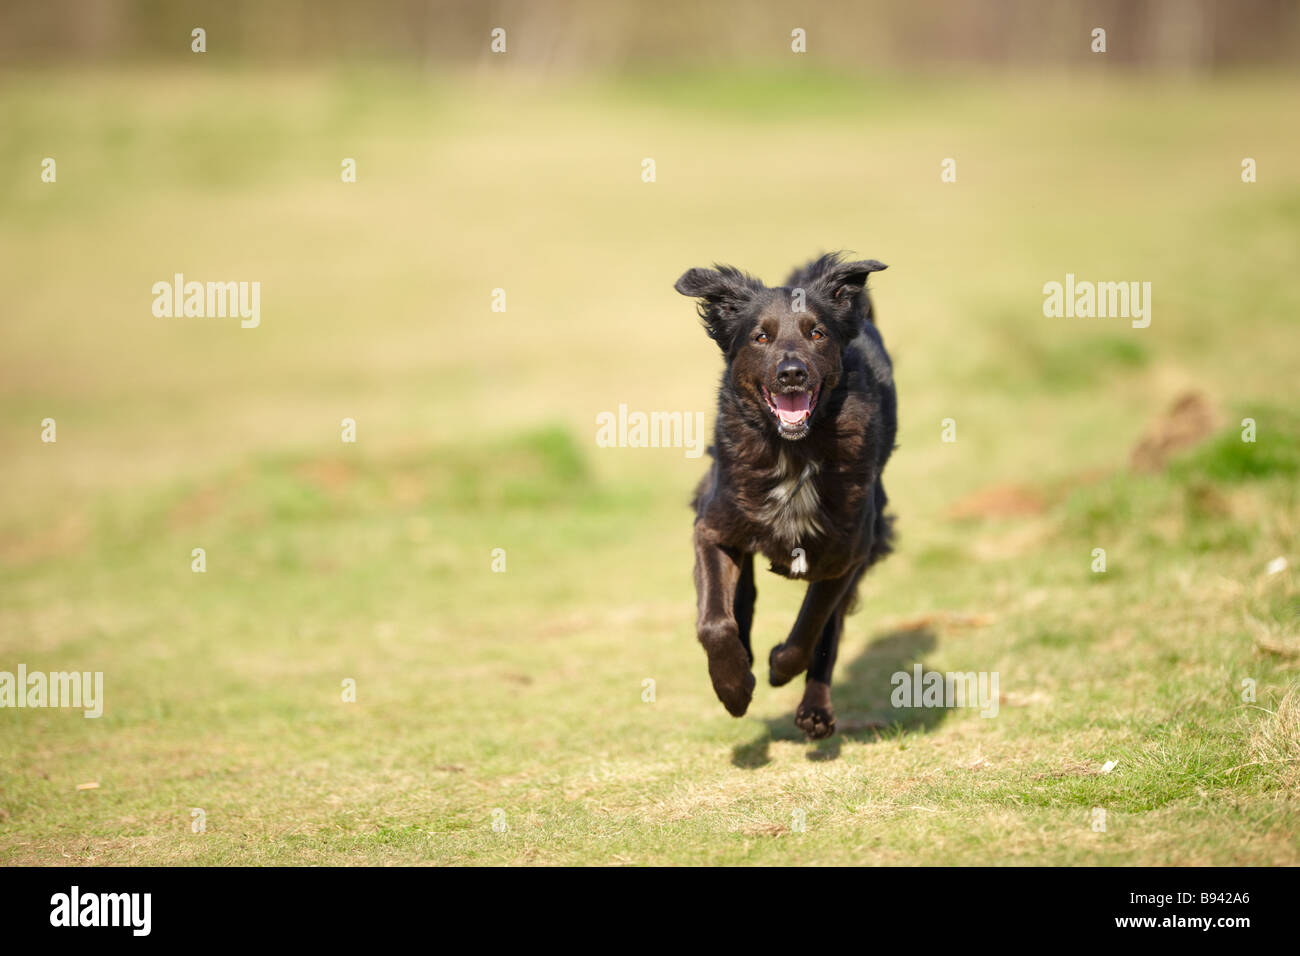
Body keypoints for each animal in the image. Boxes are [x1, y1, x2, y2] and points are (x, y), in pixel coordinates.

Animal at [670, 254, 894, 738]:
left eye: (817, 333)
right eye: (761, 336)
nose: (792, 374)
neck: (792, 450)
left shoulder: (846, 553)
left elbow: (811, 629)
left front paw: (778, 667)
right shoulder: (712, 527)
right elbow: (714, 622)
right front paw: (734, 687)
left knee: (828, 632)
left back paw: (814, 710)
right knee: (742, 599)